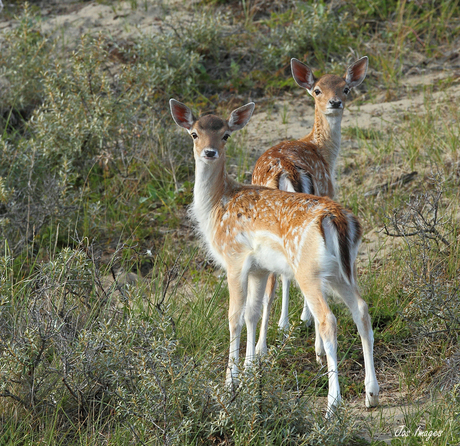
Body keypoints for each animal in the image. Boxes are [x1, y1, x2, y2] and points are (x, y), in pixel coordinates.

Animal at [169, 98, 378, 414]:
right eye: (194, 133)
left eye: (225, 135)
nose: (209, 152)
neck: (216, 207)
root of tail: (337, 219)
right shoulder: (259, 268)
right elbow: (252, 313)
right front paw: (250, 370)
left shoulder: (234, 259)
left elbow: (234, 316)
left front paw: (229, 383)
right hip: (343, 271)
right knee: (362, 310)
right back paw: (371, 394)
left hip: (308, 270)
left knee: (328, 320)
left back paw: (332, 405)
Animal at [253, 56, 368, 352]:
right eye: (317, 90)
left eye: (345, 88)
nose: (335, 102)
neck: (322, 151)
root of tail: (287, 170)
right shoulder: (328, 190)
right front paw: (300, 320)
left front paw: (284, 324)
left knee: (272, 280)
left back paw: (260, 348)